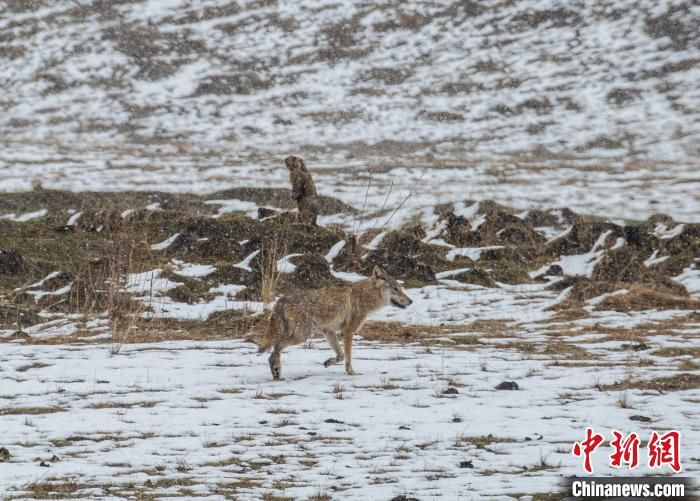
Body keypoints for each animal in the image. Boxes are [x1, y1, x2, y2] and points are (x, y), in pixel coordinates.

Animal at [250, 266, 410, 378]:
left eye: (400, 288)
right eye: (395, 289)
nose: (411, 301)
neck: (364, 296)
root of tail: (281, 300)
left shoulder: (329, 332)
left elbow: (341, 355)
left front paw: (328, 362)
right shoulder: (348, 331)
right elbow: (348, 356)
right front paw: (351, 372)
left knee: (272, 352)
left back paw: (276, 373)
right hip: (301, 336)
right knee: (276, 347)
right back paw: (277, 370)